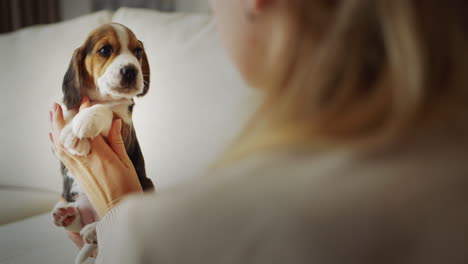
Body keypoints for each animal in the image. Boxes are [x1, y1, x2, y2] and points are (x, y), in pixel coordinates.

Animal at [51, 23, 154, 264]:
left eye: (137, 52)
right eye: (105, 50)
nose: (131, 70)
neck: (102, 97)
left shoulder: (123, 125)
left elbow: (107, 110)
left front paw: (80, 127)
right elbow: (71, 113)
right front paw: (73, 130)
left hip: (148, 185)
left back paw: (92, 230)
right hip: (75, 200)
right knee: (78, 220)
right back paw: (67, 216)